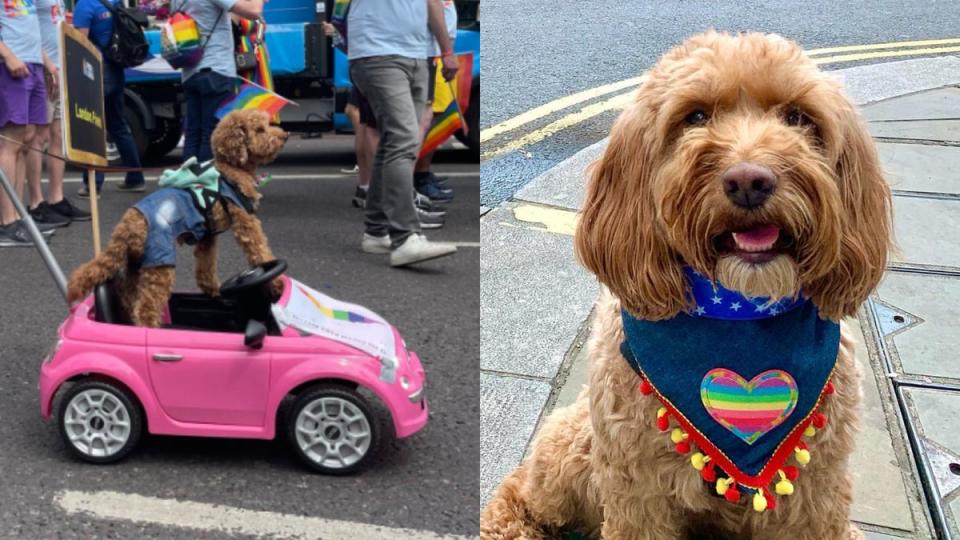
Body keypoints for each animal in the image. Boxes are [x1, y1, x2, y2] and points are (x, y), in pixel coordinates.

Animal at [67, 110, 286, 324]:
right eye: (259, 130)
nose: (284, 136)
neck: (231, 170)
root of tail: (127, 224)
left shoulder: (207, 236)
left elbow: (206, 265)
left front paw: (213, 289)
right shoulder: (245, 219)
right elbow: (259, 250)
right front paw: (276, 284)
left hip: (137, 262)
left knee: (128, 295)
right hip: (160, 261)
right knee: (146, 308)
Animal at [480, 30, 892, 540]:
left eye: (798, 117)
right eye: (695, 116)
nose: (750, 180)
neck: (739, 316)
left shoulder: (814, 491)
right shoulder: (637, 491)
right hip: (573, 445)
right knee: (523, 490)